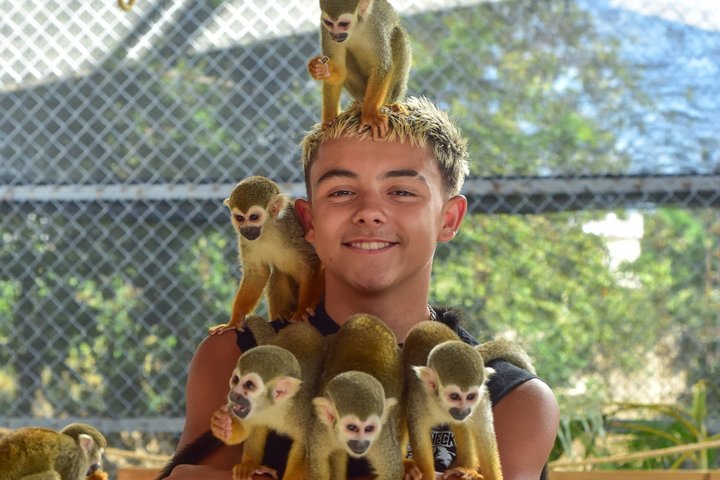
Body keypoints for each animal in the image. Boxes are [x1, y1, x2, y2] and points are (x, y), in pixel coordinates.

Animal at [209, 176, 324, 335]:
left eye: (254, 217)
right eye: (240, 218)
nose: (246, 229)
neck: (267, 229)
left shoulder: (292, 228)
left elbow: (312, 261)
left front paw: (302, 312)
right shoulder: (245, 240)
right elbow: (257, 274)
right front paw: (233, 322)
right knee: (279, 273)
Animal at [307, 0, 411, 139]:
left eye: (343, 24)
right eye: (329, 23)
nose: (334, 34)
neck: (356, 27)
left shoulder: (376, 26)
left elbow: (382, 66)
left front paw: (369, 114)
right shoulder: (325, 30)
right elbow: (340, 69)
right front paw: (321, 69)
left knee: (398, 36)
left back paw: (389, 105)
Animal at [309, 313, 404, 480]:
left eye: (369, 428)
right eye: (352, 427)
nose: (361, 444)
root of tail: (366, 316)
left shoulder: (382, 435)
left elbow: (392, 472)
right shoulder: (321, 427)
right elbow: (317, 461)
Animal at [402, 321, 497, 480]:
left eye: (470, 396)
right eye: (454, 396)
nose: (464, 410)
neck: (442, 406)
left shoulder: (480, 402)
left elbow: (484, 436)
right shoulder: (419, 399)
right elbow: (420, 435)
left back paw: (466, 468)